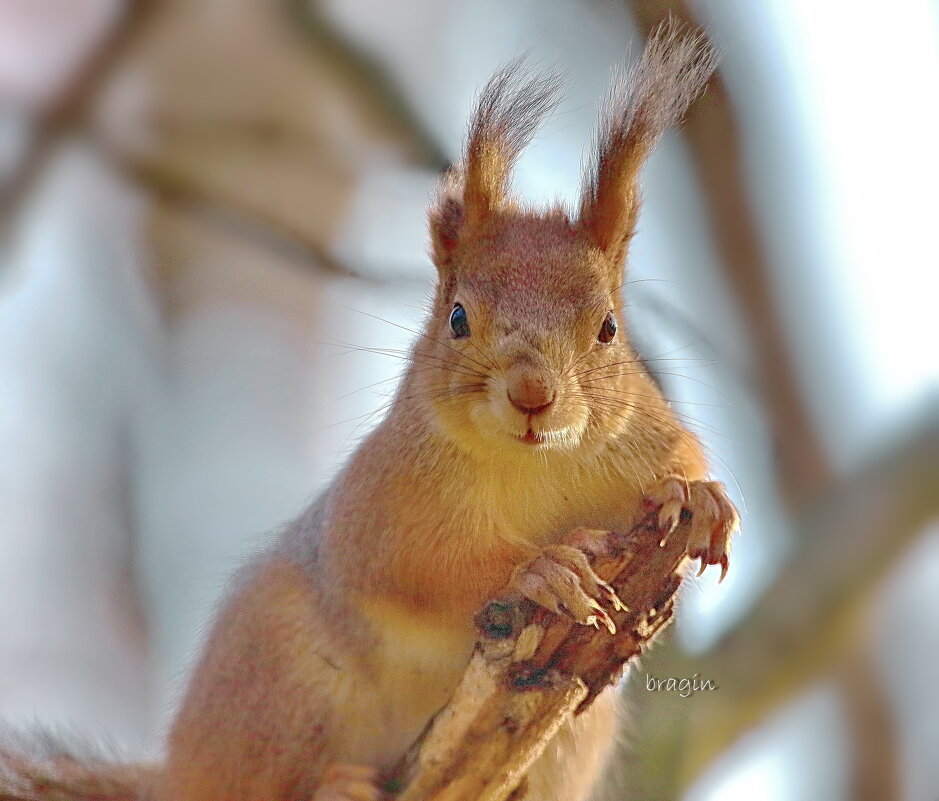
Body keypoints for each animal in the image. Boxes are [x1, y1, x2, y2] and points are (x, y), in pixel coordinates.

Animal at [0, 21, 740, 800]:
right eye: (456, 318)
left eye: (607, 328)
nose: (532, 394)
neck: (535, 461)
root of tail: (175, 774)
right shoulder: (386, 497)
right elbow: (420, 561)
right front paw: (540, 569)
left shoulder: (647, 436)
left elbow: (683, 463)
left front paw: (699, 500)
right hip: (279, 673)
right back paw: (335, 784)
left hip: (574, 735)